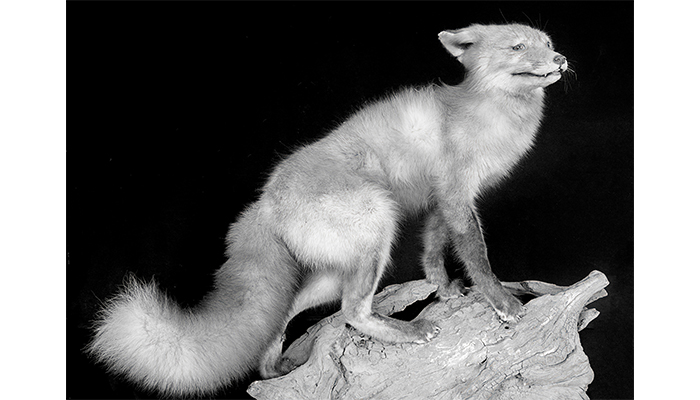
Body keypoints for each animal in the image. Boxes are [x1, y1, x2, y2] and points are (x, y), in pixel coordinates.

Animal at [89, 23, 568, 396]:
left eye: (546, 41)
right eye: (517, 47)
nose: (562, 59)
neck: (482, 114)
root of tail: (265, 202)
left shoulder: (440, 201)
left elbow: (433, 252)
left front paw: (445, 290)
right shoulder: (455, 194)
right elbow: (476, 255)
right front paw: (501, 301)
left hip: (332, 272)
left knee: (292, 312)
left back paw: (272, 369)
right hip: (376, 227)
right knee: (352, 312)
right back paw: (407, 332)